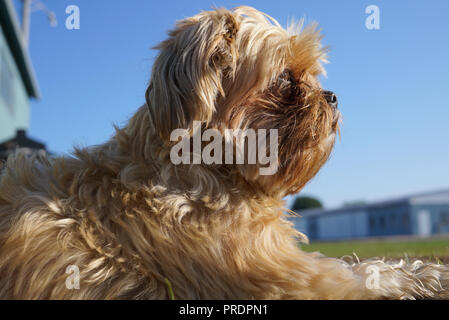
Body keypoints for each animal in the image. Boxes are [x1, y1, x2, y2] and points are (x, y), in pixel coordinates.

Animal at [0, 6, 448, 298]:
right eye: (286, 78)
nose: (333, 96)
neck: (210, 171)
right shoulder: (293, 280)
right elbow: (371, 272)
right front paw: (430, 276)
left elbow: (368, 264)